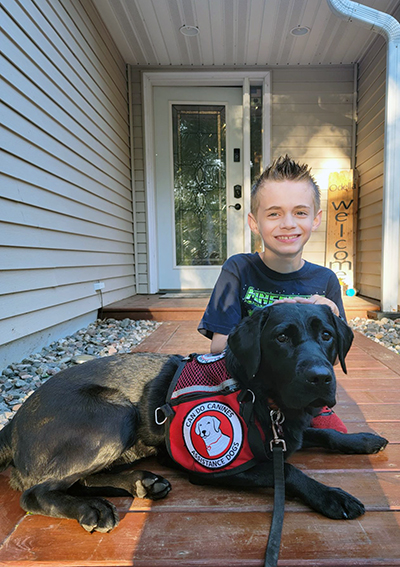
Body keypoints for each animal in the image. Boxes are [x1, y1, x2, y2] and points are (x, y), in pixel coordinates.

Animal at [0, 306, 388, 532]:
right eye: (281, 338)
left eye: (327, 335)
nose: (321, 378)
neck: (257, 394)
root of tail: (12, 424)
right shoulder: (224, 468)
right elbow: (290, 470)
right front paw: (331, 496)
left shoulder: (287, 432)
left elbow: (321, 435)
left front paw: (362, 439)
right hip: (113, 414)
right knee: (37, 493)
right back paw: (91, 509)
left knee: (79, 479)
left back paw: (142, 482)